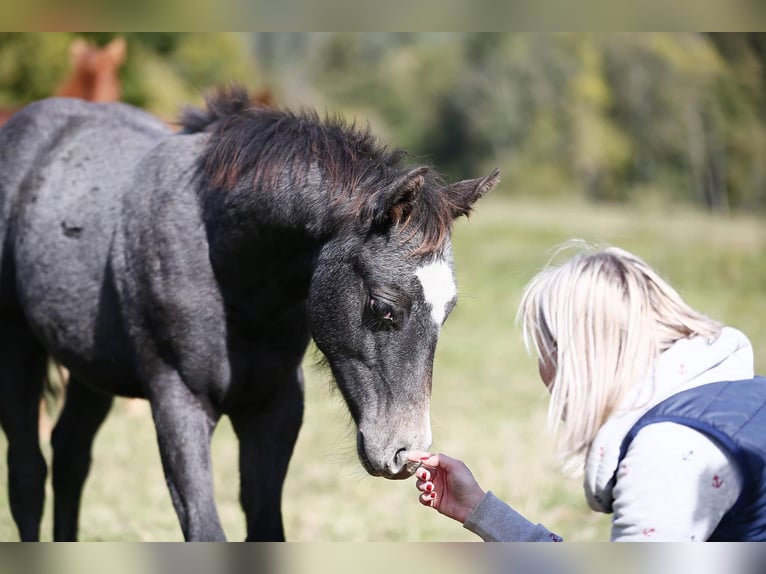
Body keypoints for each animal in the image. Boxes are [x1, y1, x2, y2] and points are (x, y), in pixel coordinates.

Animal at [0, 85, 499, 541]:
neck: (228, 268)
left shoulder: (274, 407)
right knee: (28, 475)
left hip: (91, 368)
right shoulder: (178, 402)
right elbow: (204, 529)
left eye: (447, 312)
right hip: (19, 350)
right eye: (382, 305)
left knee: (70, 456)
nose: (404, 452)